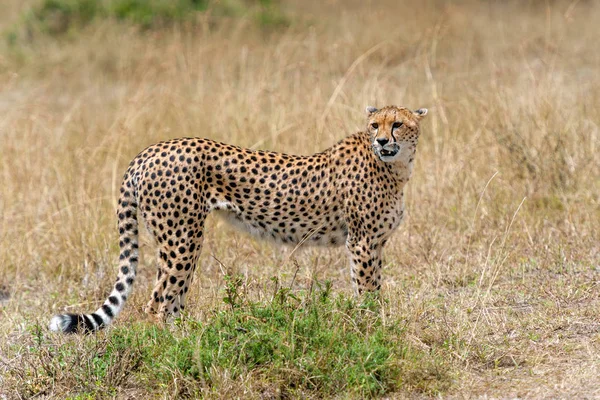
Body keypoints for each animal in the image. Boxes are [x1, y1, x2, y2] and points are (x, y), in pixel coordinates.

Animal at [50, 104, 426, 332]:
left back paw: (188, 343)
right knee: (157, 304)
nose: (382, 141)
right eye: (375, 125)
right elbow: (367, 292)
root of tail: (152, 150)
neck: (396, 167)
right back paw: (170, 353)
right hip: (182, 239)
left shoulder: (374, 244)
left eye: (398, 124)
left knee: (172, 300)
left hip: (179, 241)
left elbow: (372, 288)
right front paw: (371, 332)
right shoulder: (362, 243)